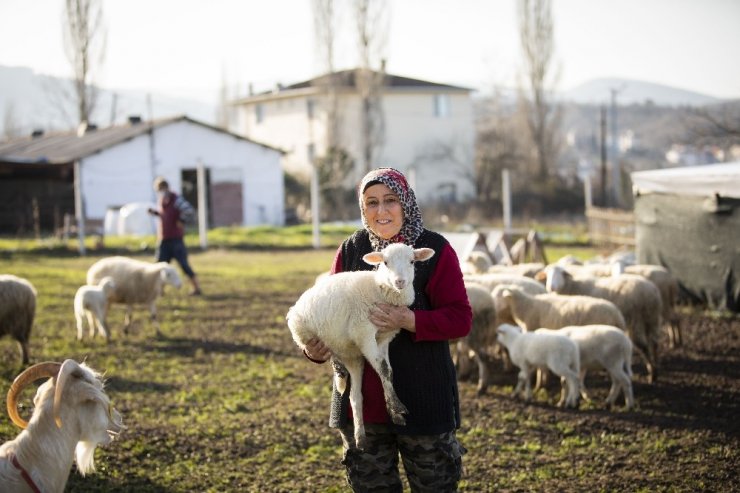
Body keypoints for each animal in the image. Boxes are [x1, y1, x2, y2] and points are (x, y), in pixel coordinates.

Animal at [284, 242, 434, 450]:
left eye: (412, 261)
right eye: (385, 262)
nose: (400, 282)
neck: (381, 289)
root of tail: (294, 308)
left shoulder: (384, 338)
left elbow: (388, 371)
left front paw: (393, 411)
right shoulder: (363, 332)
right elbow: (383, 369)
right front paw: (397, 407)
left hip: (353, 357)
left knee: (355, 397)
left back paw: (361, 438)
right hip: (314, 337)